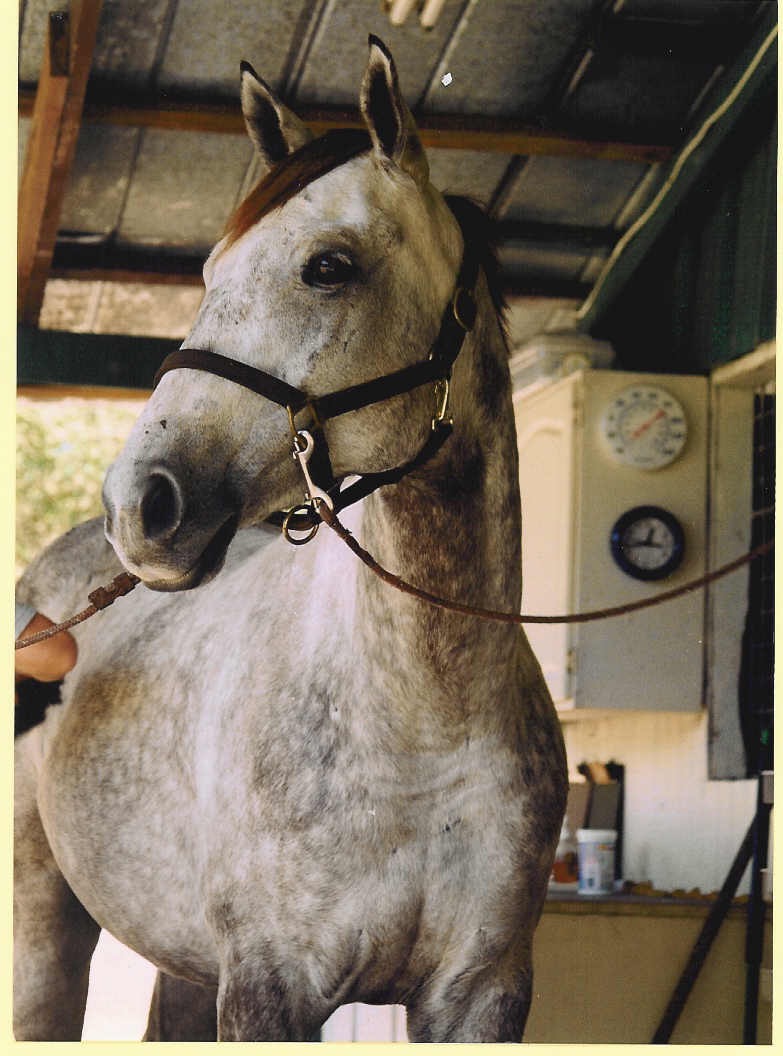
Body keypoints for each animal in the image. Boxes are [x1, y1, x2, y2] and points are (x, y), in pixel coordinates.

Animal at [15, 37, 566, 1043]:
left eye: (328, 266)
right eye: (210, 273)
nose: (139, 506)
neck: (424, 721)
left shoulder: (483, 996)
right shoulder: (270, 988)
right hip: (46, 928)